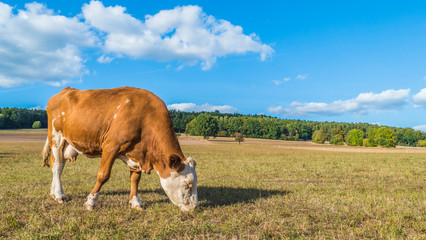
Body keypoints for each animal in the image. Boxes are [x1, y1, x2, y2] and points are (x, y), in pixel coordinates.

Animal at [41, 87, 198, 211]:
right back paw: (59, 195)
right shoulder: (111, 146)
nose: (195, 206)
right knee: (57, 167)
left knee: (58, 167)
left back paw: (53, 192)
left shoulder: (136, 154)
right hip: (56, 137)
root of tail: (65, 90)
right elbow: (103, 175)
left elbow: (135, 179)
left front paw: (136, 202)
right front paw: (91, 201)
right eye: (187, 184)